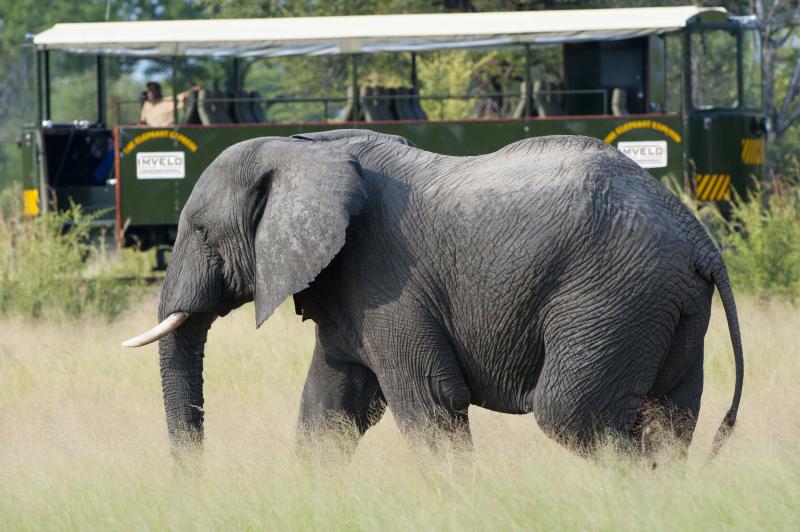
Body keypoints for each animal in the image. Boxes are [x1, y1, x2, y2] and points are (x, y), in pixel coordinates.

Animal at [123, 129, 743, 457]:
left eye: (201, 232)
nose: (192, 479)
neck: (305, 147)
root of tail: (697, 235)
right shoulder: (347, 292)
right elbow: (328, 411)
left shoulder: (386, 280)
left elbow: (429, 404)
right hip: (666, 304)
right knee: (669, 420)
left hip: (611, 295)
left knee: (572, 414)